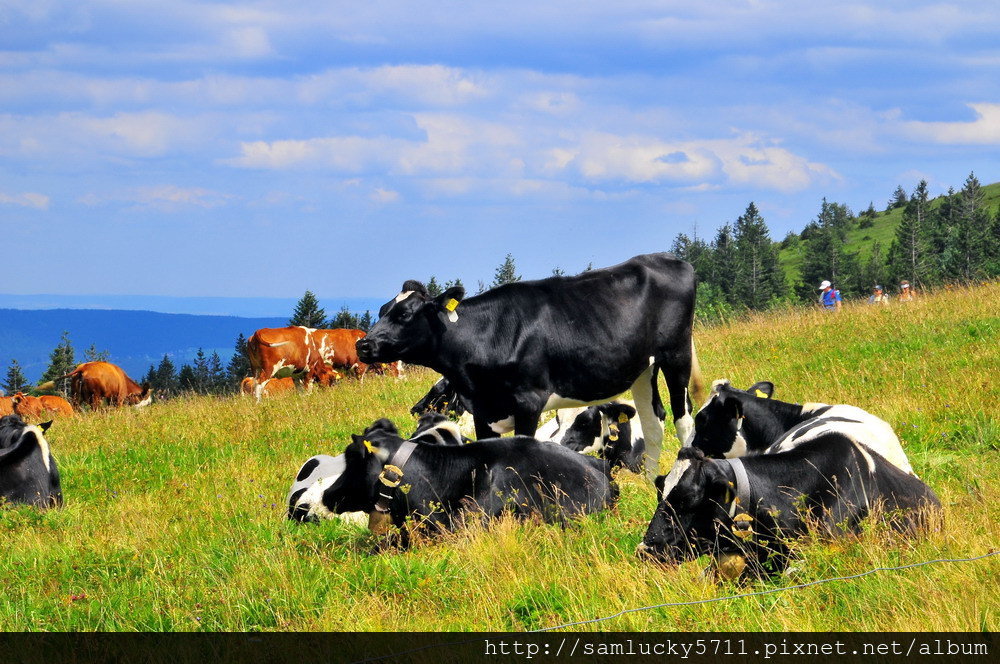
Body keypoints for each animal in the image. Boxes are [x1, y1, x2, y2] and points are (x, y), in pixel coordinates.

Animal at [358, 253, 704, 478]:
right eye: (382, 310)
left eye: (404, 314)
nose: (363, 345)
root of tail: (669, 258)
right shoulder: (482, 409)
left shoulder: (528, 401)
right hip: (642, 369)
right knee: (654, 421)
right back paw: (649, 480)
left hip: (676, 355)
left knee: (683, 418)